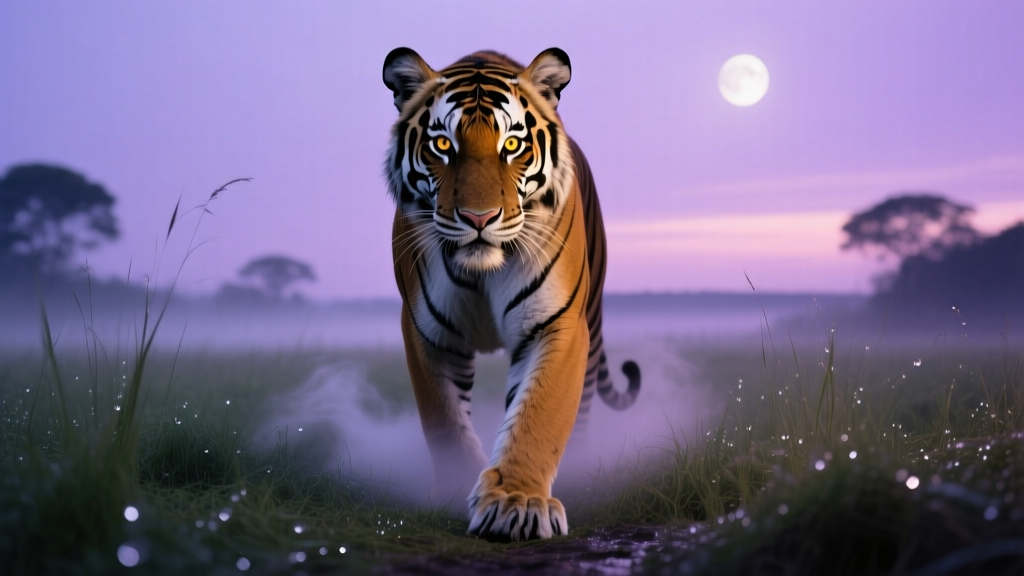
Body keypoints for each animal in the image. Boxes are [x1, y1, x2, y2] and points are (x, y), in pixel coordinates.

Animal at [381, 47, 641, 541]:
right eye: (443, 145)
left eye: (513, 145)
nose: (479, 218)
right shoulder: (427, 333)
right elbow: (443, 418)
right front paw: (456, 488)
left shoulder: (556, 323)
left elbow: (539, 415)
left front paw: (517, 504)